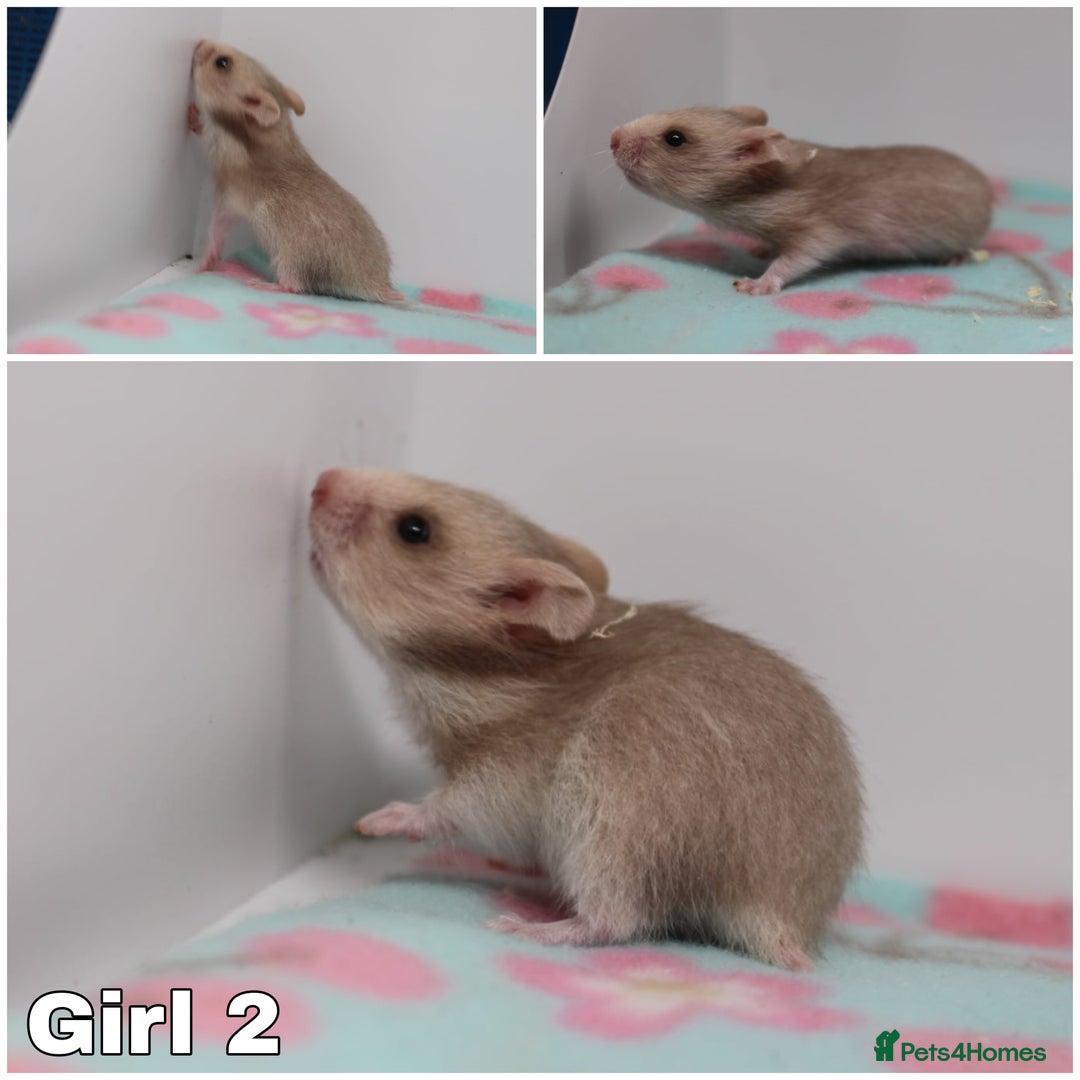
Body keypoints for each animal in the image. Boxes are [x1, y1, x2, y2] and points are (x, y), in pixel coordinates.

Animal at [189, 40, 403, 304]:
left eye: (222, 63)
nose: (200, 42)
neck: (274, 130)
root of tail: (376, 283)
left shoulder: (229, 190)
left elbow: (218, 225)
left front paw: (205, 262)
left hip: (291, 261)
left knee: (294, 287)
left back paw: (264, 285)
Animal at [309, 468, 864, 971]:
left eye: (414, 529)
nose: (319, 480)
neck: (490, 673)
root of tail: (784, 919)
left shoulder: (504, 779)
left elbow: (445, 809)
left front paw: (378, 820)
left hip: (612, 821)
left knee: (616, 920)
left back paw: (525, 927)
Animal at [610, 105, 994, 294]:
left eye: (675, 138)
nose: (613, 138)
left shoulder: (815, 222)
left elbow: (809, 251)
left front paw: (762, 281)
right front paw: (763, 249)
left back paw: (953, 256)